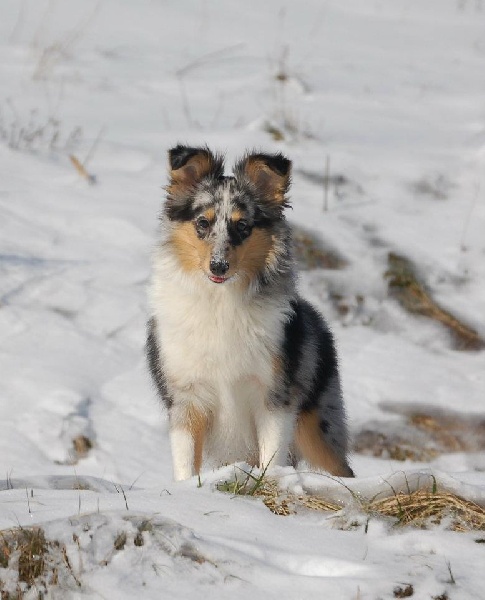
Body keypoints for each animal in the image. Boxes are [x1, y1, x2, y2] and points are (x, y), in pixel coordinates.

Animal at [146, 146, 354, 482]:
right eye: (202, 223)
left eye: (242, 226)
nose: (218, 266)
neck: (220, 302)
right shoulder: (186, 398)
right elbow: (186, 464)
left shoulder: (273, 397)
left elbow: (272, 456)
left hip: (317, 427)